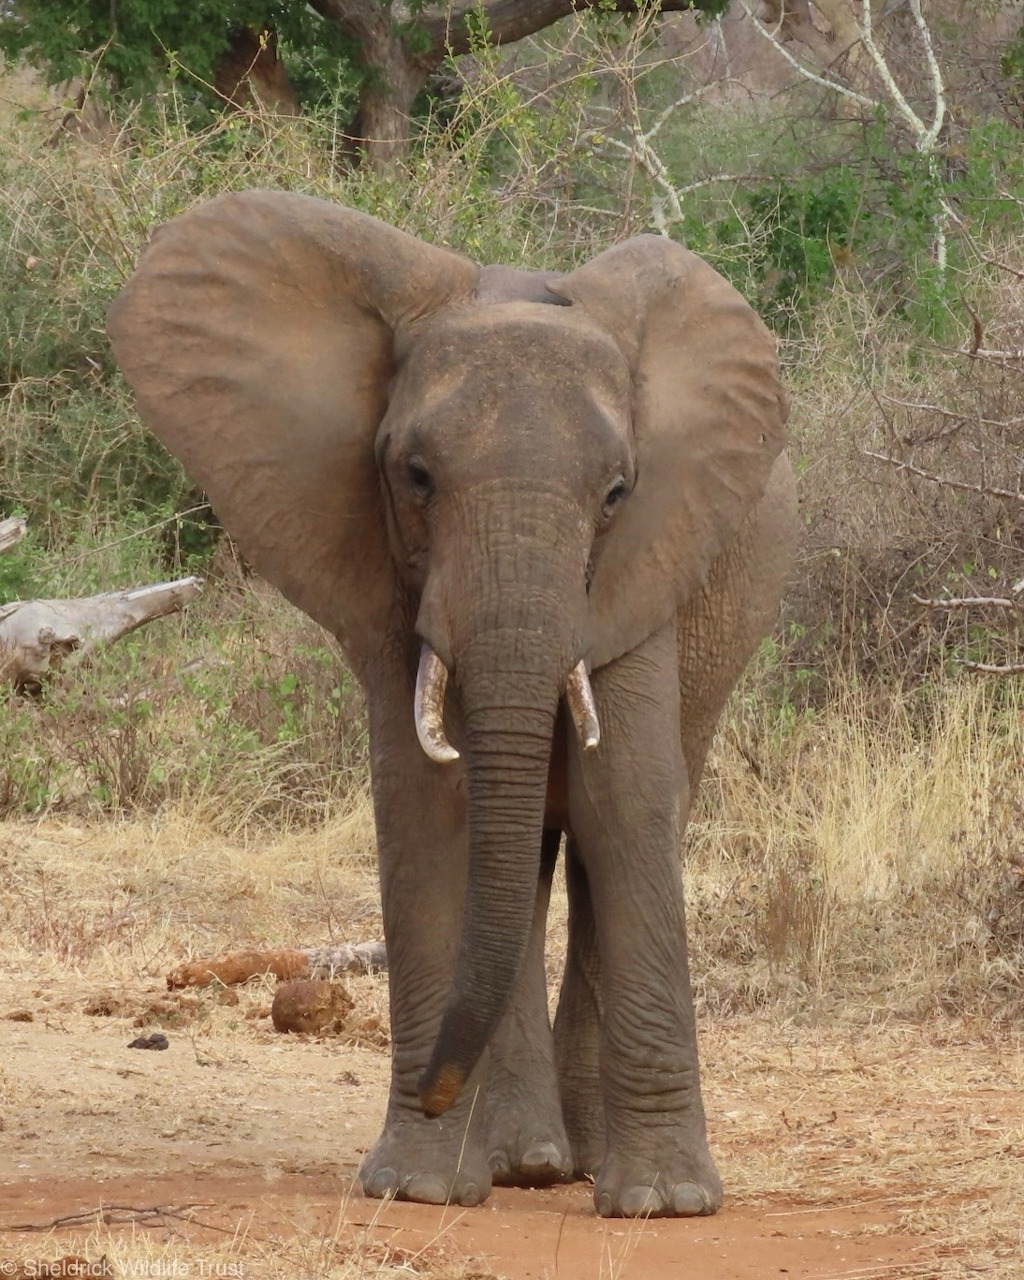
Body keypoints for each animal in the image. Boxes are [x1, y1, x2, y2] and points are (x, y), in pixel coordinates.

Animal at [107, 190, 799, 1219]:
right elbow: (431, 807)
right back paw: (528, 1162)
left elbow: (626, 800)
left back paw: (573, 1163)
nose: (435, 1087)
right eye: (416, 477)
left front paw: (664, 1205)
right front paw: (420, 1187)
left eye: (617, 494)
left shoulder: (645, 566)